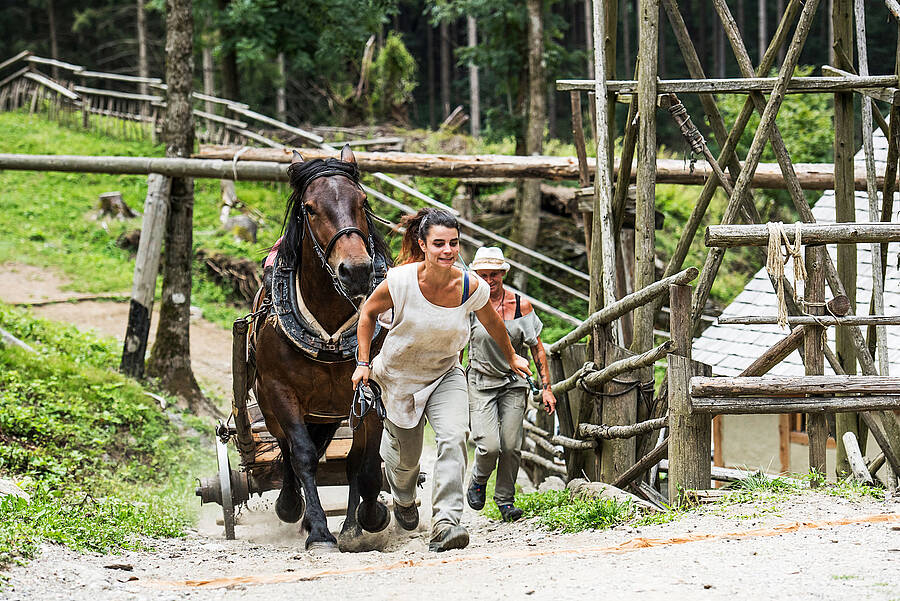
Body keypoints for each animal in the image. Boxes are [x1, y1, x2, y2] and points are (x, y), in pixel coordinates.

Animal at [253, 144, 394, 548]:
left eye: (363, 201)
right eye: (310, 208)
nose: (357, 270)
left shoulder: (370, 393)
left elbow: (362, 461)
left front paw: (365, 519)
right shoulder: (279, 390)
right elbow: (300, 454)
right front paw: (317, 530)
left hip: (329, 413)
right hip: (270, 405)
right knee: (290, 450)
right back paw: (291, 505)